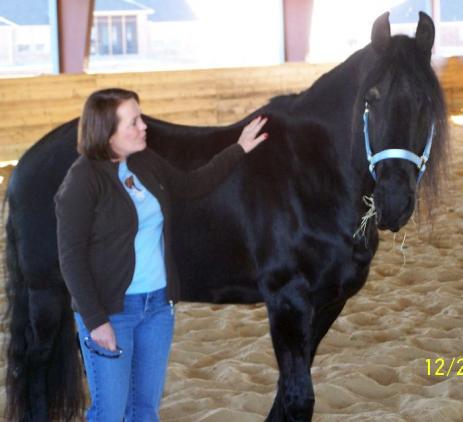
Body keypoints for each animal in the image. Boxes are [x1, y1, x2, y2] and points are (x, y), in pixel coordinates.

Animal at [4, 13, 450, 422]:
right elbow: (298, 398)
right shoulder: (287, 300)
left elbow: (286, 395)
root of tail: (28, 161)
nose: (393, 200)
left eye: (426, 103)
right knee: (36, 370)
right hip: (47, 292)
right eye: (370, 99)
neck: (312, 172)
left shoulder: (328, 303)